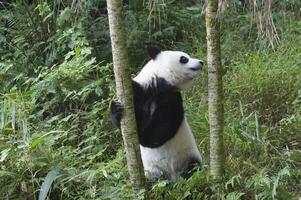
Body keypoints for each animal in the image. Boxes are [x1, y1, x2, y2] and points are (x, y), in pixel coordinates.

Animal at [109, 45, 203, 181]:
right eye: (184, 58)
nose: (201, 62)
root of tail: (173, 178)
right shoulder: (139, 92)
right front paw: (116, 109)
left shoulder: (171, 96)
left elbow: (163, 126)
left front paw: (143, 138)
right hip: (152, 170)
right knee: (155, 180)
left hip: (188, 156)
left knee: (192, 169)